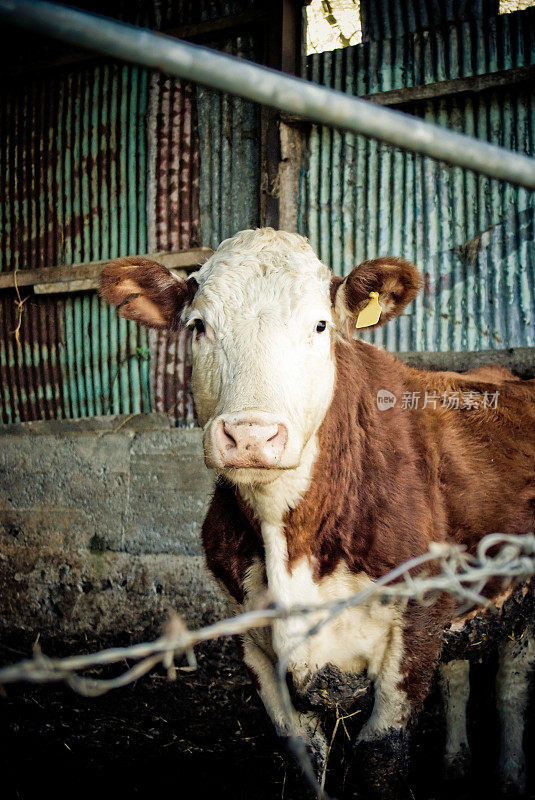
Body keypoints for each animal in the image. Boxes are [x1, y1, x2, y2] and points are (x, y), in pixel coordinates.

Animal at [101, 228, 535, 796]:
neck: (292, 542)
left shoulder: (415, 626)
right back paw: (456, 764)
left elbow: (382, 755)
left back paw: (510, 775)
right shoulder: (253, 638)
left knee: (511, 684)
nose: (251, 436)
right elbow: (304, 756)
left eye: (320, 324)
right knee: (459, 675)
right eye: (198, 326)